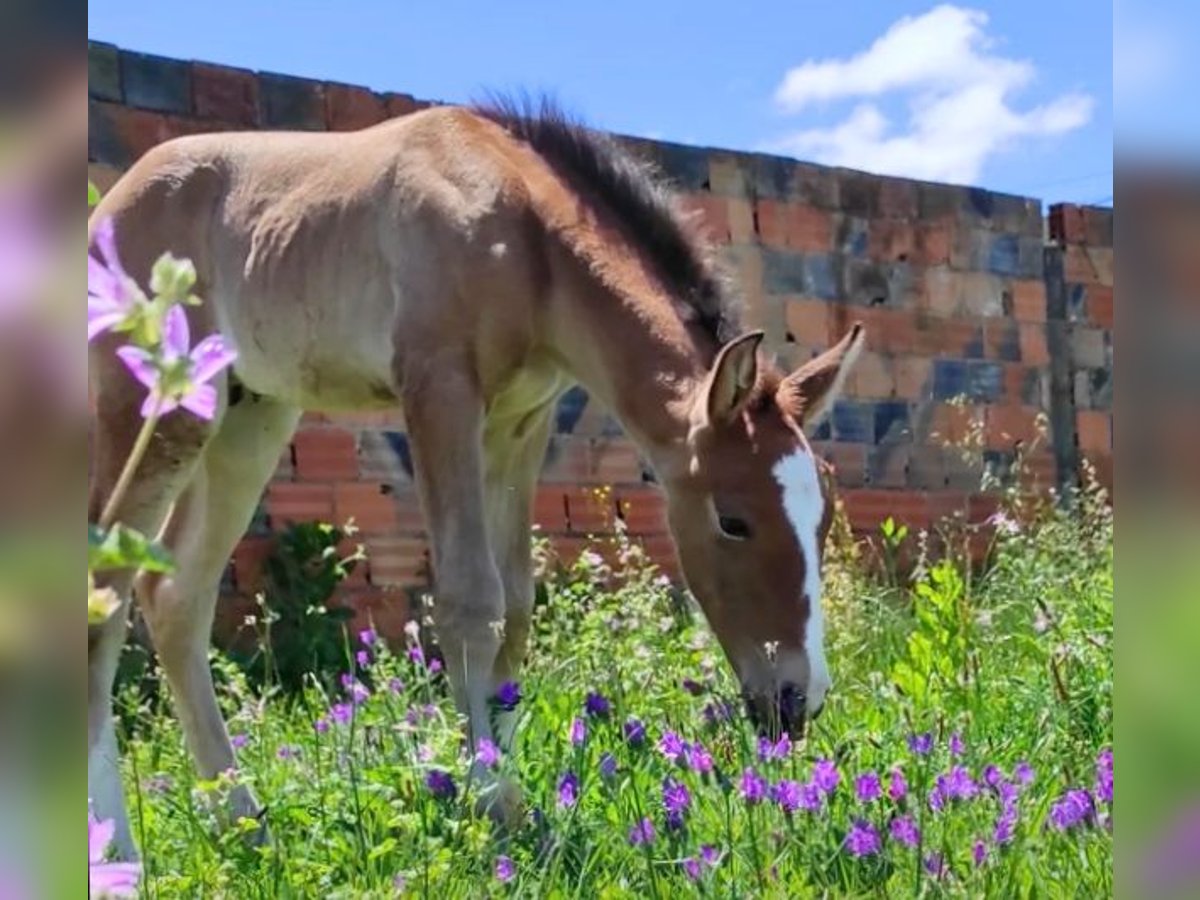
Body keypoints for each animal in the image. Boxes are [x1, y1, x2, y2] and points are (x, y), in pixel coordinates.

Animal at [91, 95, 864, 854]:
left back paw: (240, 819)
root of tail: (111, 204)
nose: (798, 701)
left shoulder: (522, 420)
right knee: (106, 588)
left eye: (822, 516)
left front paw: (513, 796)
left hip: (249, 416)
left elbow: (515, 607)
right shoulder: (440, 391)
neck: (524, 239)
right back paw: (117, 846)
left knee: (174, 596)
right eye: (733, 520)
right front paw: (491, 802)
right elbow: (469, 600)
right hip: (149, 404)